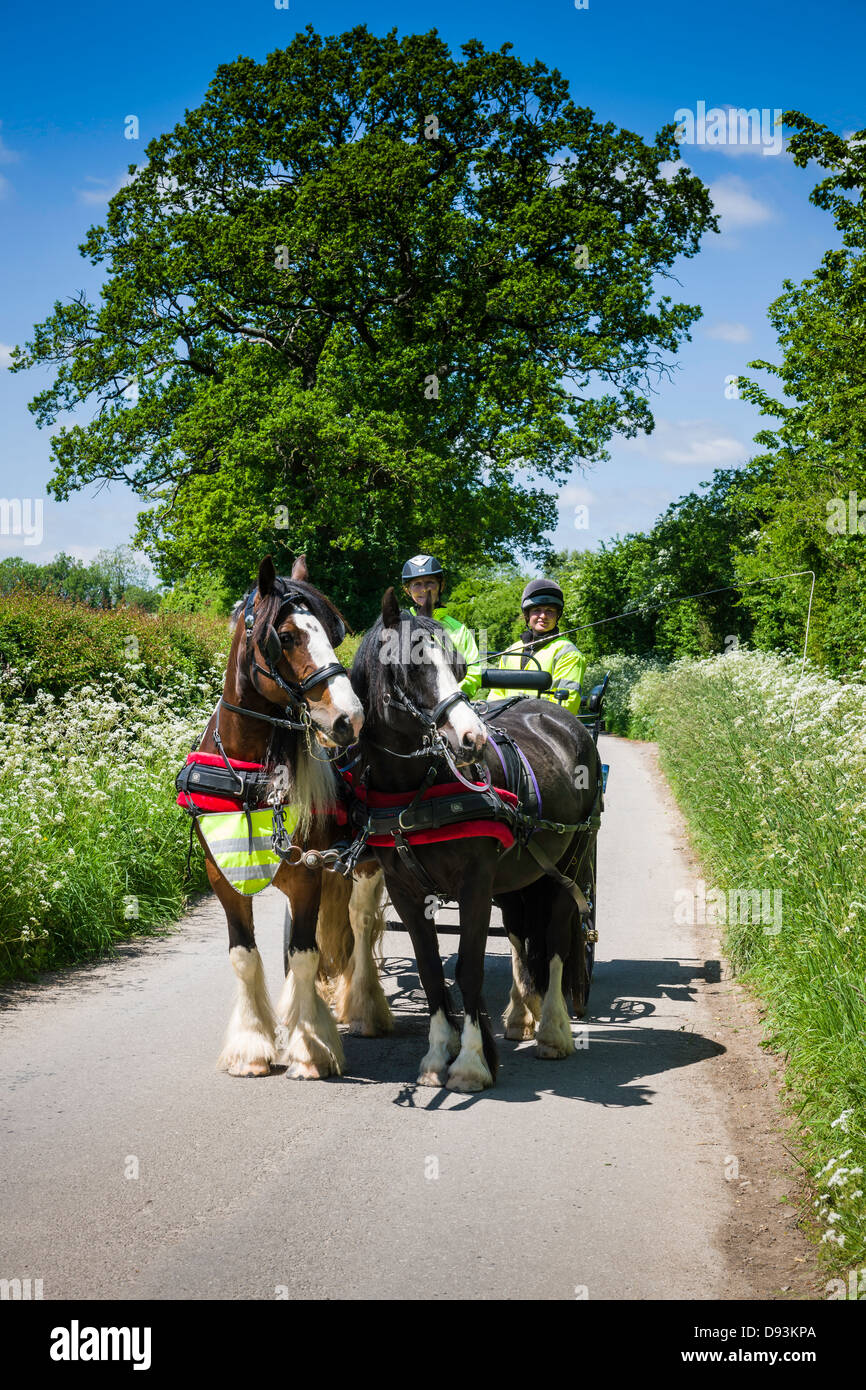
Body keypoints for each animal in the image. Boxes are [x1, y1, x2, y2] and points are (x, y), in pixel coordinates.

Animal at [193, 558, 391, 1078]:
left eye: (332, 632)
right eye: (285, 636)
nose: (350, 719)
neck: (250, 781)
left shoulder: (307, 877)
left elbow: (304, 955)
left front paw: (309, 1047)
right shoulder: (224, 876)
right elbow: (245, 956)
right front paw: (250, 1047)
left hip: (366, 861)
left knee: (361, 923)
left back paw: (364, 1008)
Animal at [353, 592, 603, 1089]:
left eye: (457, 664)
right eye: (409, 668)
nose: (472, 738)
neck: (418, 788)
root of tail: (559, 714)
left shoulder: (474, 885)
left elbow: (468, 967)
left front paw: (470, 1063)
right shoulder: (406, 891)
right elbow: (431, 970)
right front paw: (436, 1056)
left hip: (568, 863)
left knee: (557, 941)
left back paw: (552, 1030)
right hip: (519, 876)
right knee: (520, 935)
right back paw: (520, 1015)